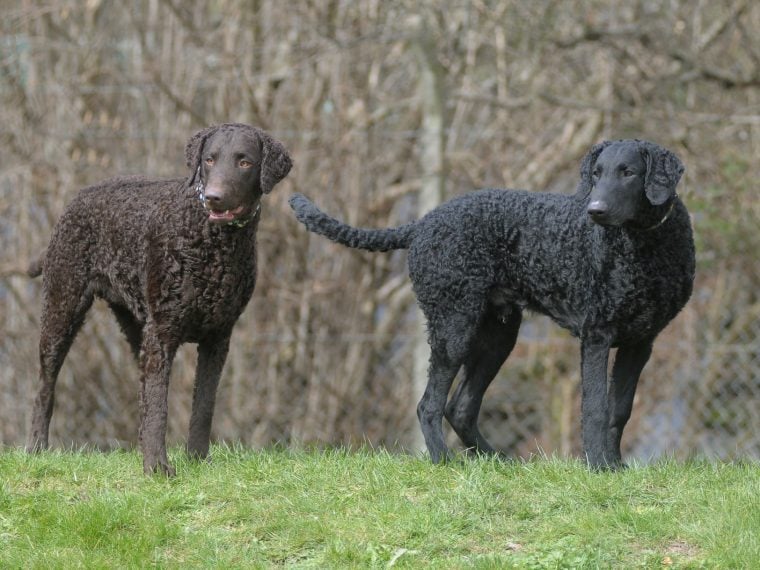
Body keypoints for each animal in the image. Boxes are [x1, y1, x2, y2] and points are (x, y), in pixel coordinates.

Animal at [27, 124, 290, 474]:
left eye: (244, 162)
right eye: (209, 159)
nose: (214, 197)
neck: (215, 243)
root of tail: (83, 194)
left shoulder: (218, 338)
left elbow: (203, 404)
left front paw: (198, 459)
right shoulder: (163, 333)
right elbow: (158, 406)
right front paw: (157, 468)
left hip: (137, 327)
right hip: (62, 307)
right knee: (45, 385)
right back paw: (36, 448)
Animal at [290, 138, 696, 466]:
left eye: (628, 173)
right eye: (596, 174)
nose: (594, 210)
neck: (643, 246)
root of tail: (422, 223)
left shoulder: (641, 341)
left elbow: (619, 411)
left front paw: (616, 468)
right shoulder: (596, 334)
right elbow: (595, 408)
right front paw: (597, 467)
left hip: (498, 334)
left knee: (460, 408)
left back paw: (496, 462)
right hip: (453, 326)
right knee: (429, 405)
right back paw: (444, 461)